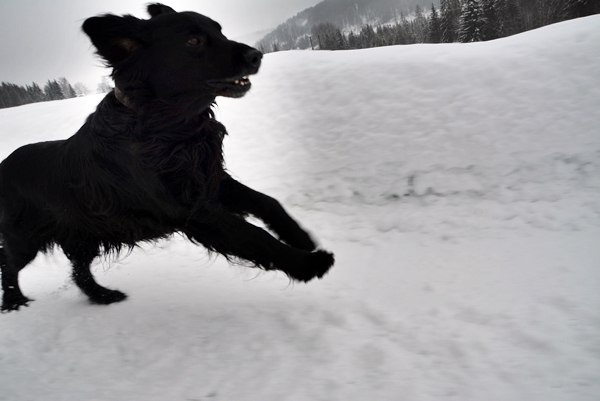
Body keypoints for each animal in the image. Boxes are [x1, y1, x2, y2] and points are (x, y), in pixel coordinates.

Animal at [0, 3, 332, 312]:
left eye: (220, 31)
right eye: (194, 41)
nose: (255, 56)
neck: (166, 127)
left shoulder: (211, 181)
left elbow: (267, 201)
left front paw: (299, 237)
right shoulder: (195, 212)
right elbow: (255, 237)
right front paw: (309, 263)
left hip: (83, 235)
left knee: (79, 272)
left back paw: (103, 295)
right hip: (24, 239)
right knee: (9, 266)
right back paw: (15, 301)